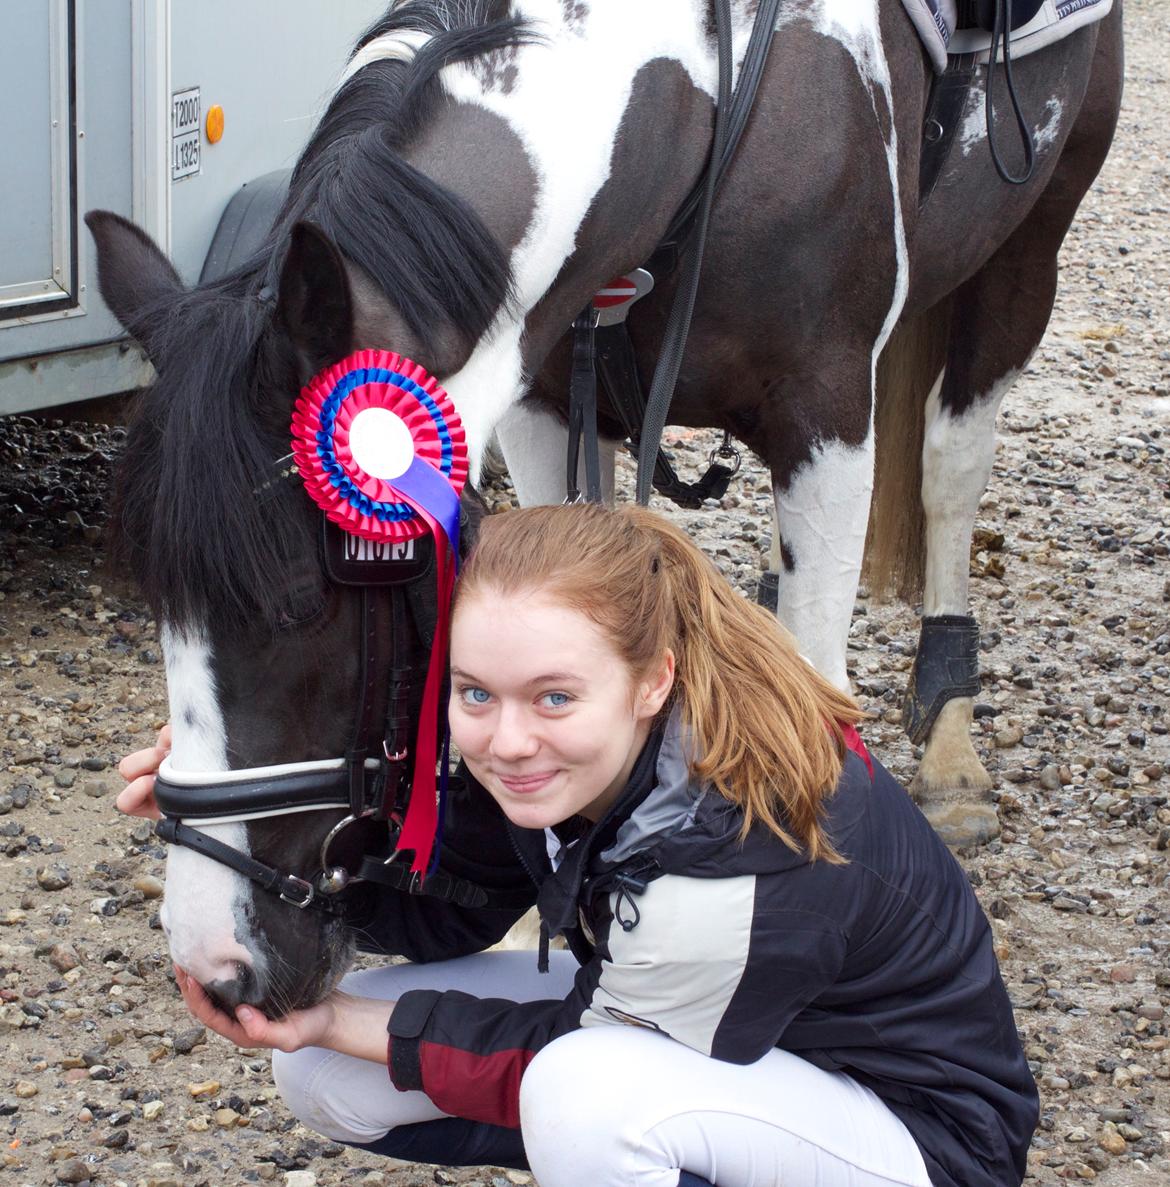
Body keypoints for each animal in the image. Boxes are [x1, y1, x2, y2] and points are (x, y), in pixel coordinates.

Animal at [86, 2, 1115, 1020]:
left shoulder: (828, 414)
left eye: (299, 602)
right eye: (157, 603)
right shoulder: (541, 407)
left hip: (1032, 242)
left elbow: (822, 666)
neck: (700, 98)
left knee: (952, 460)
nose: (215, 967)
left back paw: (950, 739)